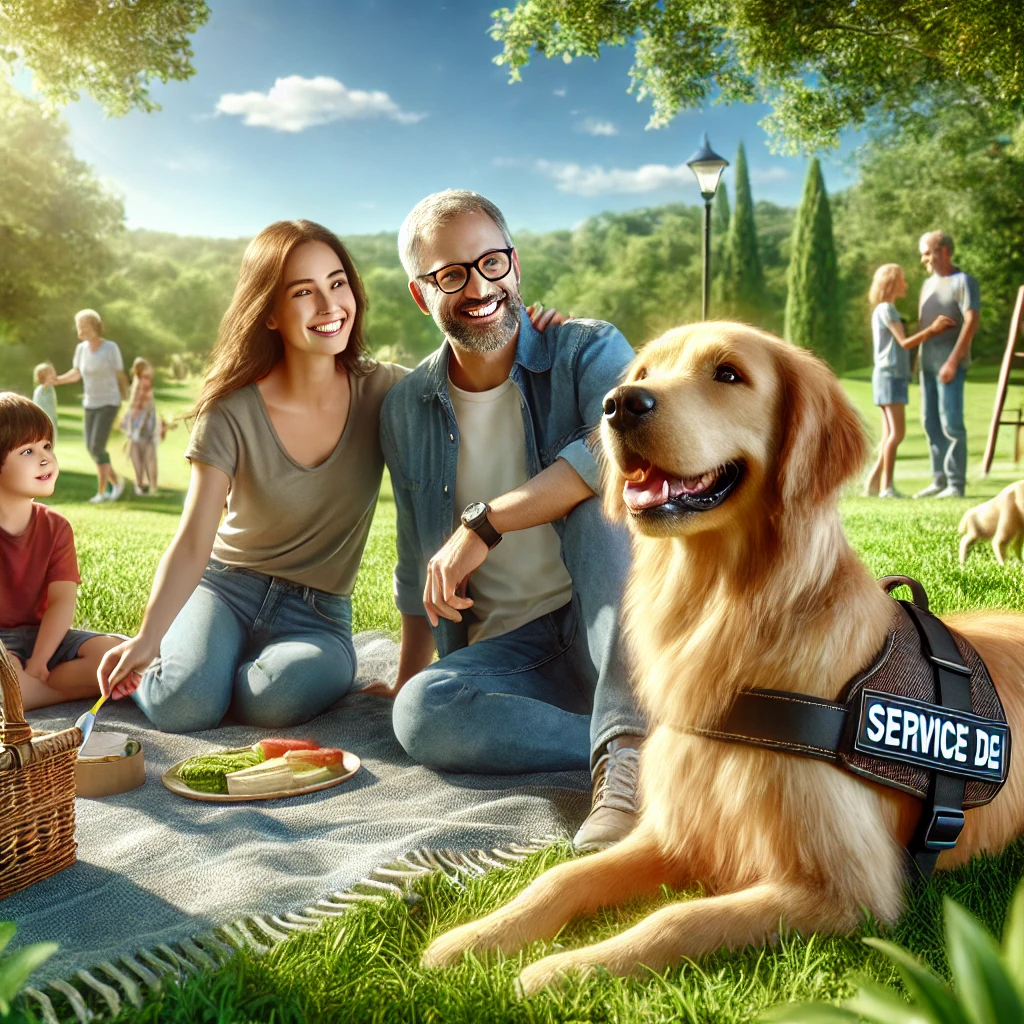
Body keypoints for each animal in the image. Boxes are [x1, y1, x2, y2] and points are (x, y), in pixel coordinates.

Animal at [417, 319, 1024, 991]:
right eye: (643, 374)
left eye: (728, 373)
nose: (618, 404)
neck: (722, 613)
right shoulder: (678, 826)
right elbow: (562, 877)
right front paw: (475, 938)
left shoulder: (851, 888)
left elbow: (675, 919)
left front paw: (563, 970)